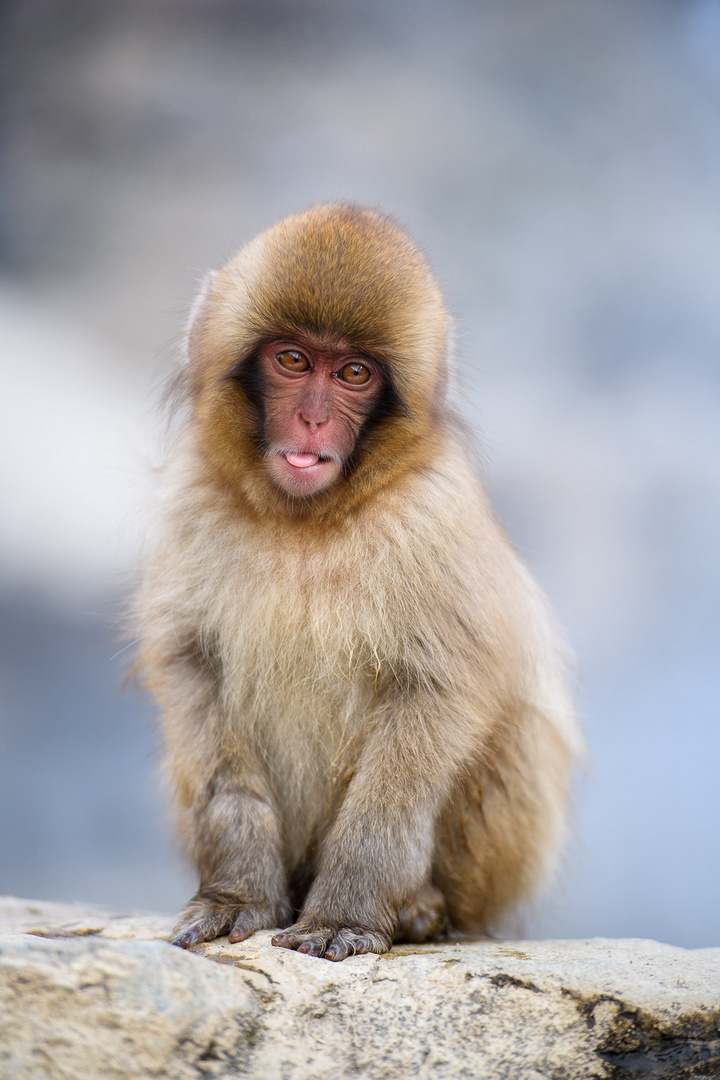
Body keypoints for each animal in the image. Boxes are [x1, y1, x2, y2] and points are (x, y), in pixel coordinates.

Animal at [138, 203, 582, 963]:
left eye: (353, 373)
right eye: (292, 360)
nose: (314, 418)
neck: (307, 519)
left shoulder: (430, 517)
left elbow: (436, 695)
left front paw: (351, 908)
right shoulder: (193, 502)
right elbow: (192, 671)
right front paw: (236, 890)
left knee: (514, 726)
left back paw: (423, 910)